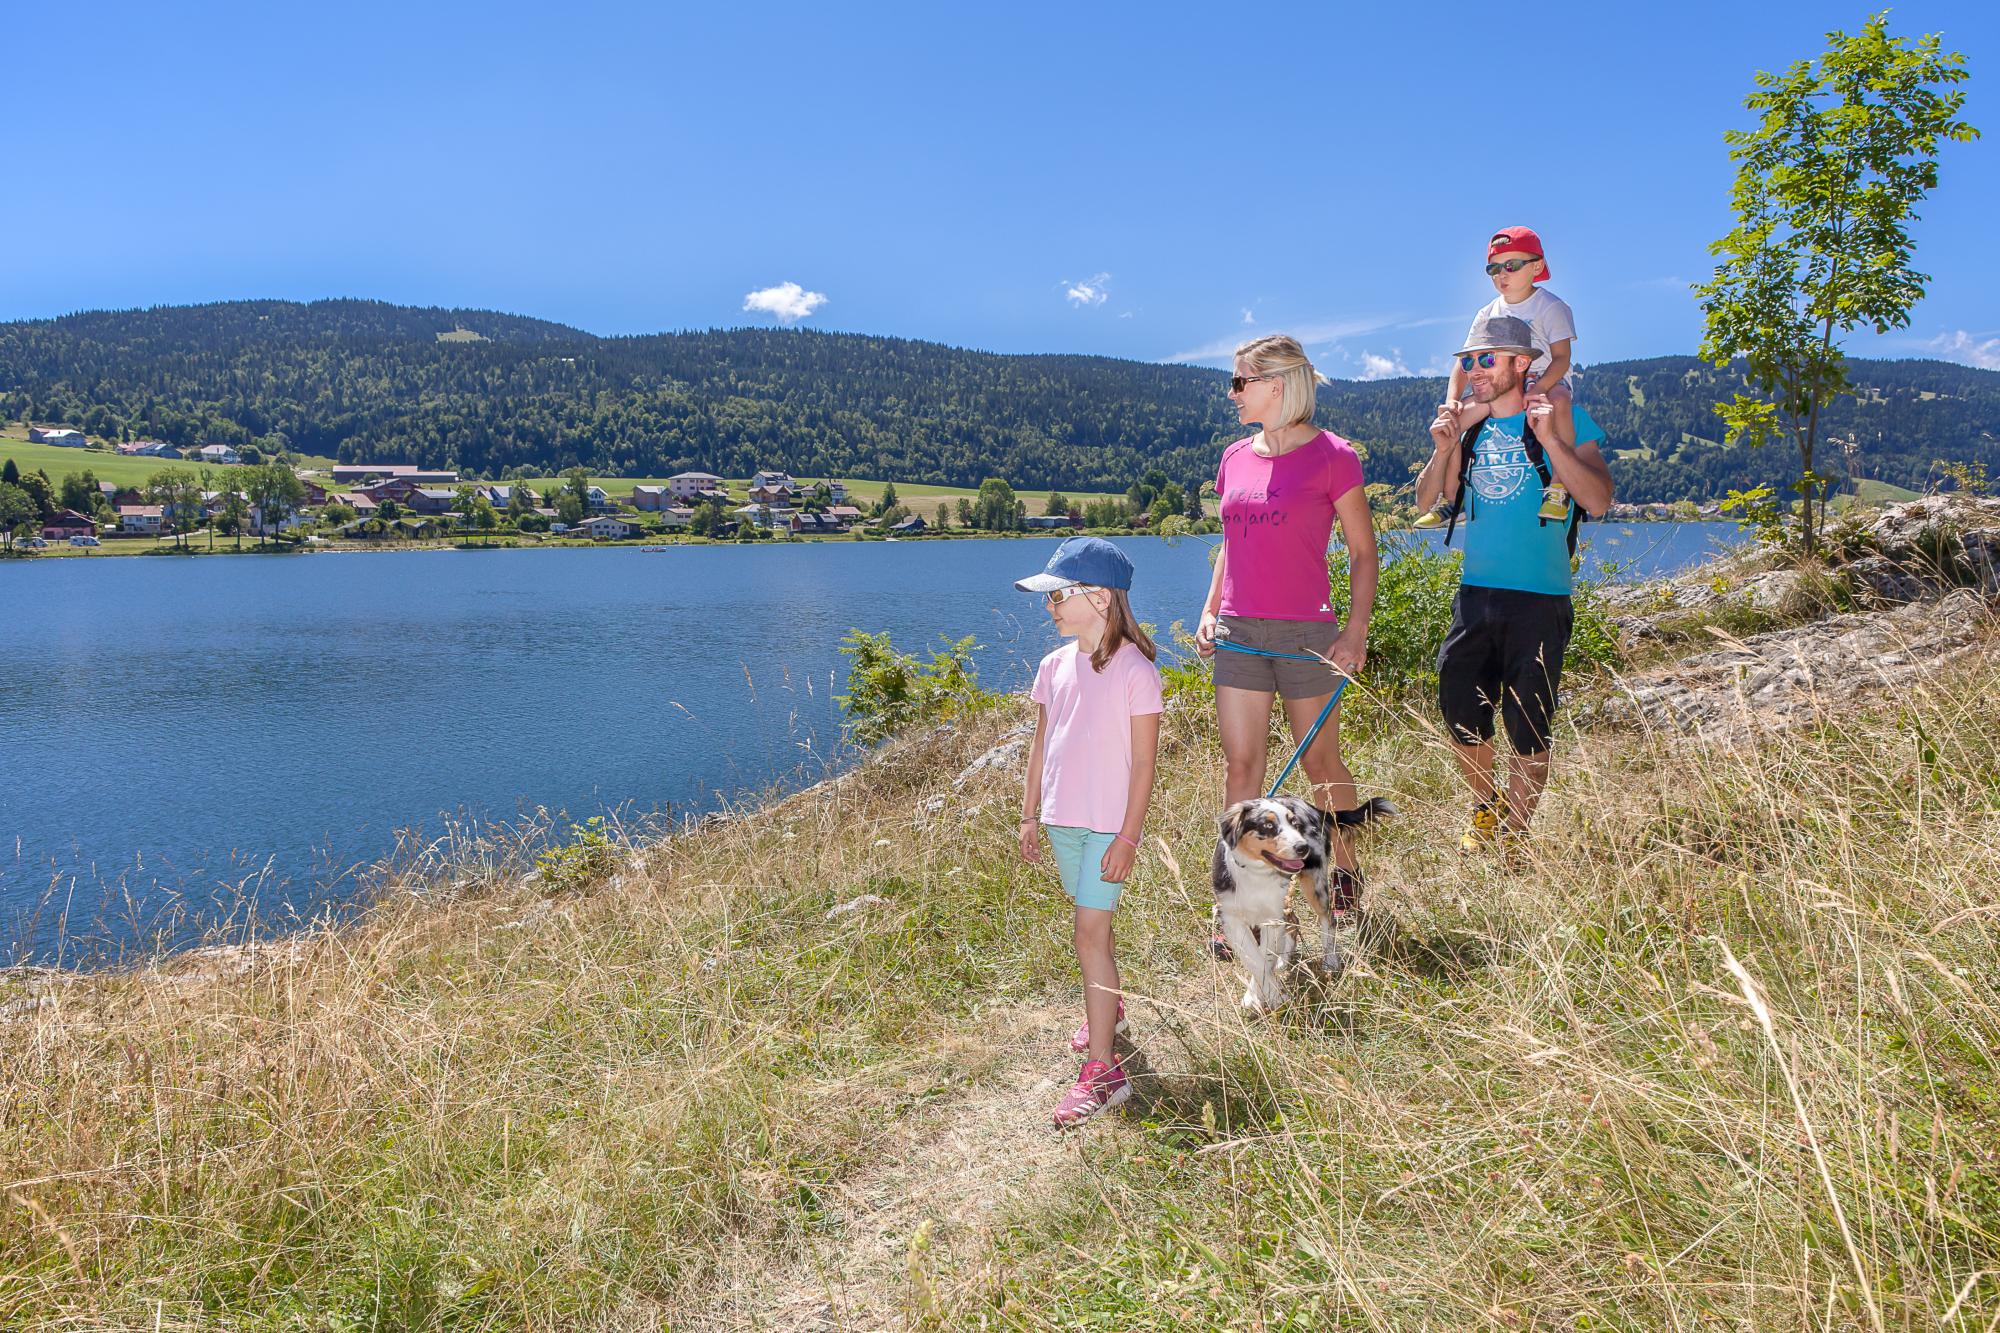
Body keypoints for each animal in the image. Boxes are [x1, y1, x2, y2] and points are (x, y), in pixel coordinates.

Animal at [1208, 788, 1400, 1008]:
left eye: (1295, 824)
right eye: (1268, 825)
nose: (1303, 847)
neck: (1256, 873)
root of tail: (1313, 808)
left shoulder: (1271, 918)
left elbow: (1264, 958)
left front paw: (1269, 997)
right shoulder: (1231, 918)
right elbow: (1254, 959)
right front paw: (1258, 995)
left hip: (1315, 883)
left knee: (1327, 919)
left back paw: (1330, 961)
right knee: (1294, 920)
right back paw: (1284, 960)